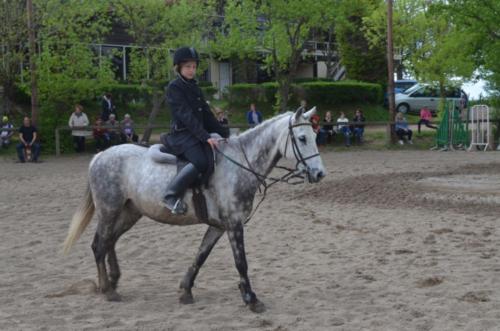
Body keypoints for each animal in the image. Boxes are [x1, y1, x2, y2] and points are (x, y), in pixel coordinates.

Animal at [62, 107, 326, 314]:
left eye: (315, 136)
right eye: (302, 138)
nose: (319, 174)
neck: (239, 165)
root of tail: (99, 156)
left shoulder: (219, 226)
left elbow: (201, 255)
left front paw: (186, 290)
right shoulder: (234, 225)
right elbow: (241, 262)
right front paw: (251, 299)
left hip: (130, 212)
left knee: (110, 241)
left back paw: (114, 281)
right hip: (109, 209)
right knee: (99, 244)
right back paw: (107, 289)